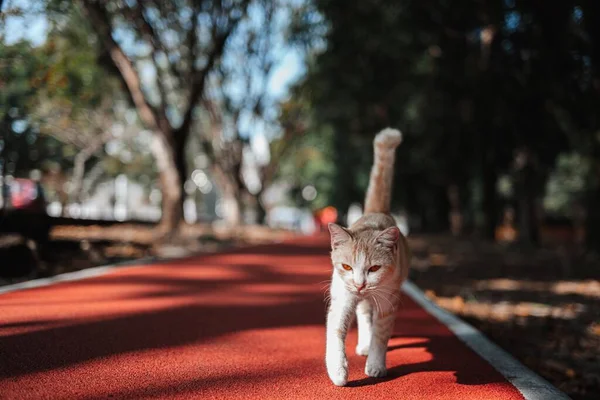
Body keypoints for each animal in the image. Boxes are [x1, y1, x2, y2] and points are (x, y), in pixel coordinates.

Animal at [326, 126, 410, 386]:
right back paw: (362, 343)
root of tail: (376, 211)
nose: (360, 284)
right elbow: (336, 331)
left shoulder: (388, 302)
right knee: (363, 316)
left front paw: (375, 366)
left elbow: (380, 336)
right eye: (346, 267)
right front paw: (338, 370)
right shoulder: (342, 297)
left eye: (374, 269)